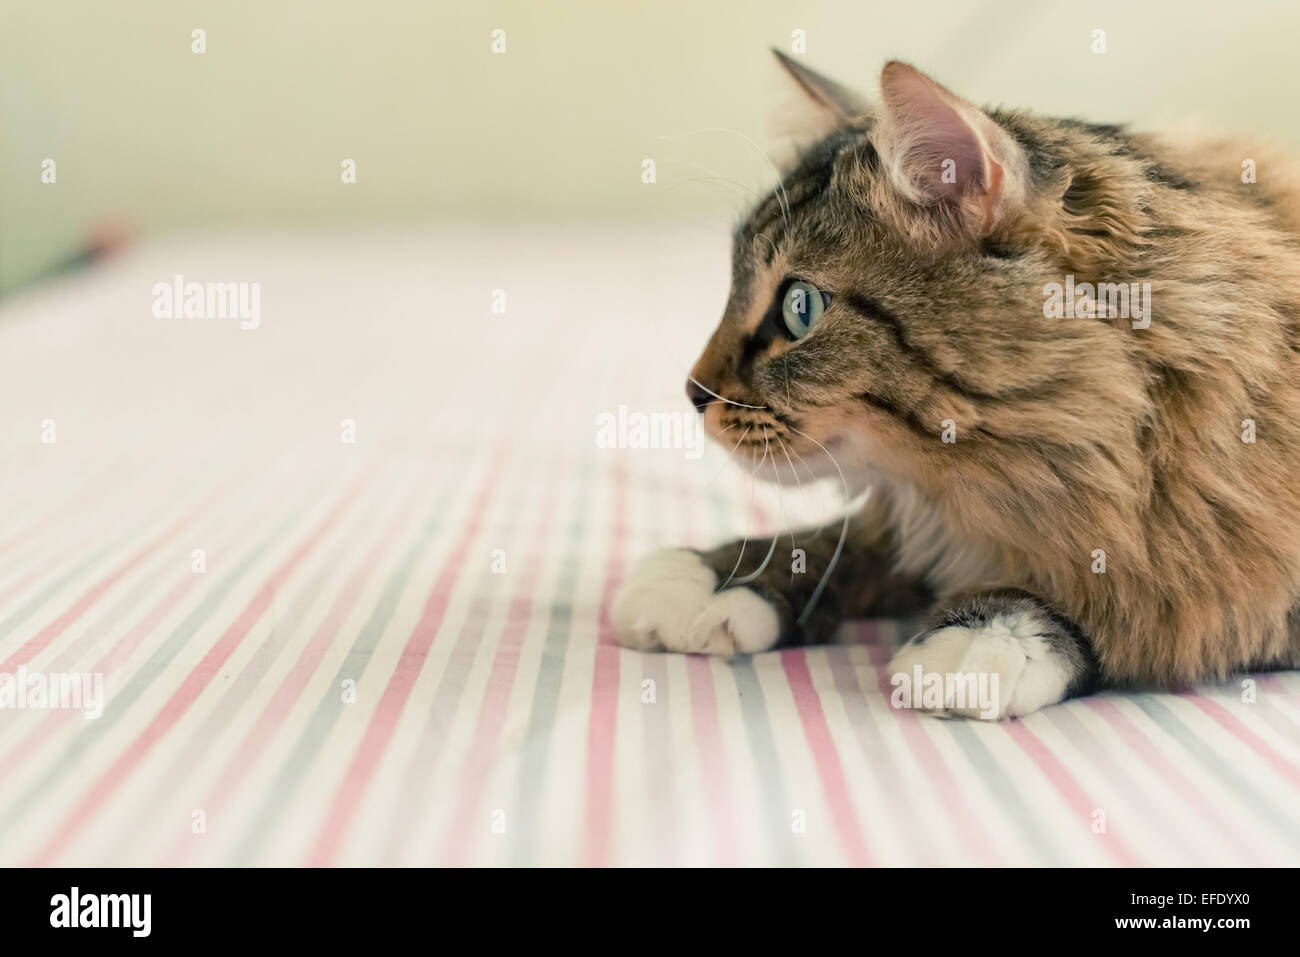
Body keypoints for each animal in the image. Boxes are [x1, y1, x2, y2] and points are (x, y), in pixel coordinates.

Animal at [605, 50, 1300, 717]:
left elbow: (1160, 610)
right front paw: (718, 579)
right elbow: (853, 543)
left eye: (799, 308)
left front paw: (989, 637)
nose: (693, 394)